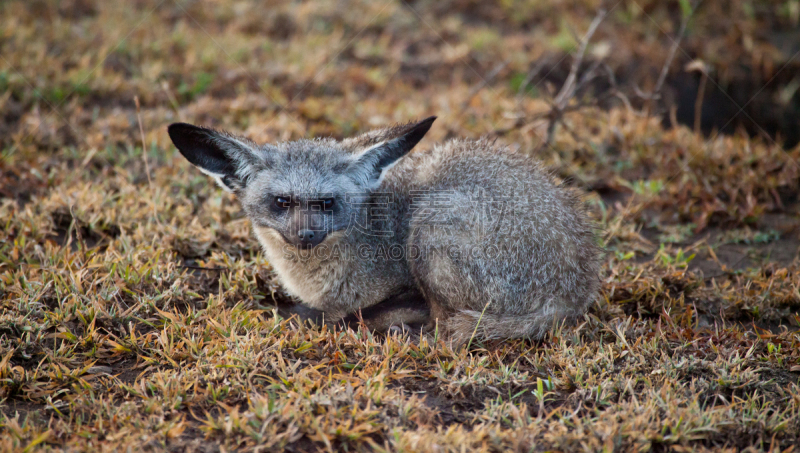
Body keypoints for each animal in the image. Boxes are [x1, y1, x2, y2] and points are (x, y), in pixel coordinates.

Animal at [167, 116, 600, 342]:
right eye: (281, 202)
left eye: (328, 203)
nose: (306, 235)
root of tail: (574, 290)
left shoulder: (405, 283)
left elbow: (363, 311)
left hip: (429, 225)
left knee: (444, 323)